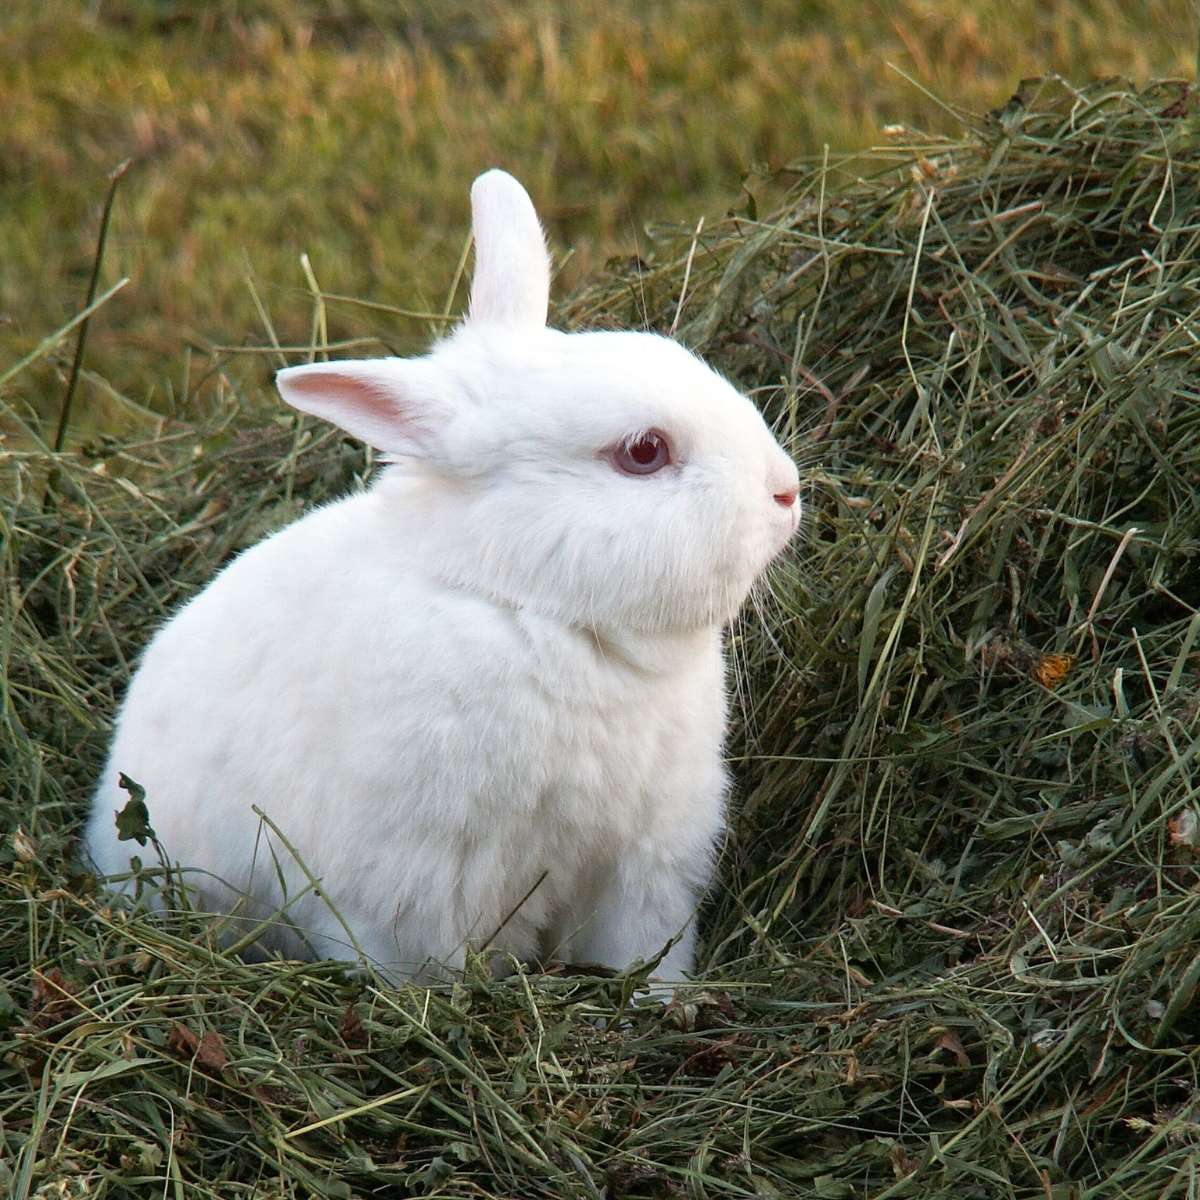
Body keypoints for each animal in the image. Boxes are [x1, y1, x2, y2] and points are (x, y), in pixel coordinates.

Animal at [84, 169, 801, 984]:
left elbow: (640, 952)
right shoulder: (415, 885)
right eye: (644, 451)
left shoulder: (642, 866)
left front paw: (661, 999)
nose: (787, 491)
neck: (539, 613)